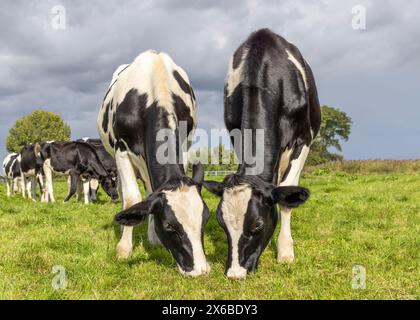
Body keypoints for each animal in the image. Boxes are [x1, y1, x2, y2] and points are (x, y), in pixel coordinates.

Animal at [97, 50, 212, 278]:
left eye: (205, 219)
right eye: (169, 226)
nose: (200, 270)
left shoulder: (184, 145)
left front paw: (154, 238)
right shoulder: (121, 149)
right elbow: (132, 199)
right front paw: (124, 249)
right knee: (125, 192)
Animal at [203, 30, 322, 280]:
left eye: (257, 225)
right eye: (221, 223)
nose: (235, 274)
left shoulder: (303, 139)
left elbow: (286, 192)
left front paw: (285, 252)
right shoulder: (236, 133)